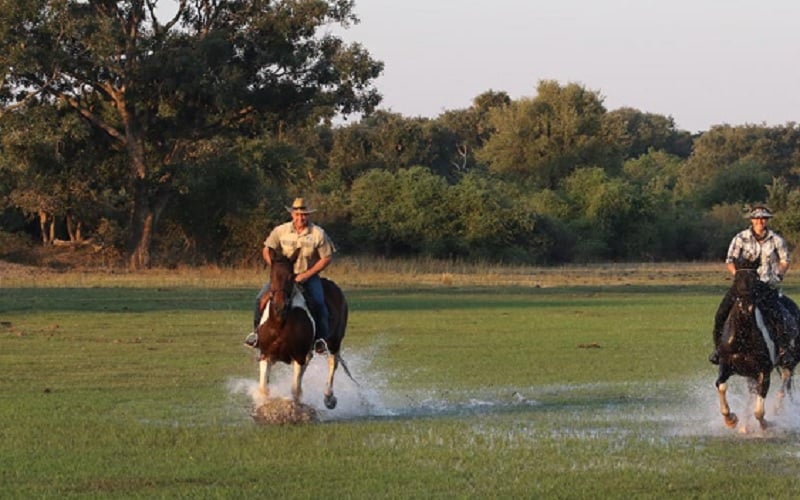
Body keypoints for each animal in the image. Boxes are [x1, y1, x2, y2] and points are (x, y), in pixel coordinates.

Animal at [255, 247, 349, 410]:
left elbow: (295, 391)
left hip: (334, 342)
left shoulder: (298, 356)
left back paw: (329, 398)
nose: (280, 306)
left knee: (332, 363)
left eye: (291, 276)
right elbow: (264, 389)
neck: (280, 322)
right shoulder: (266, 354)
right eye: (271, 275)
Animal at [715, 258, 800, 430]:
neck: (743, 337)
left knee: (785, 381)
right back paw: (744, 426)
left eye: (755, 281)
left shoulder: (764, 371)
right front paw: (731, 420)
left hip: (790, 361)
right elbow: (721, 386)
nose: (745, 308)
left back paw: (777, 409)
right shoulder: (725, 366)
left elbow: (759, 410)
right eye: (736, 280)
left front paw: (767, 424)